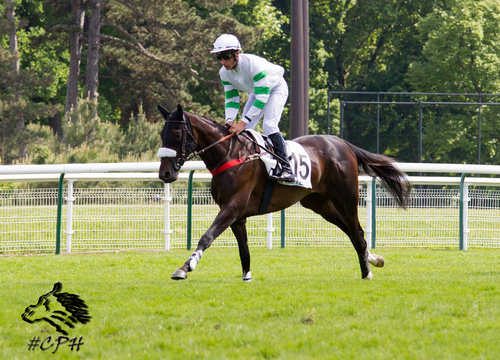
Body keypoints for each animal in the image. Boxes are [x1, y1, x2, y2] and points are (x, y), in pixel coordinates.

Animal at [157, 104, 410, 282]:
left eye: (177, 134)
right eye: (161, 134)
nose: (165, 173)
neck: (230, 154)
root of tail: (343, 143)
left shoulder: (233, 206)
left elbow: (207, 236)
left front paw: (185, 267)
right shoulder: (236, 215)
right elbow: (243, 249)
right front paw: (247, 276)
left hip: (346, 198)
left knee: (356, 231)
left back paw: (366, 272)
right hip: (318, 203)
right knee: (350, 231)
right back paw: (374, 259)